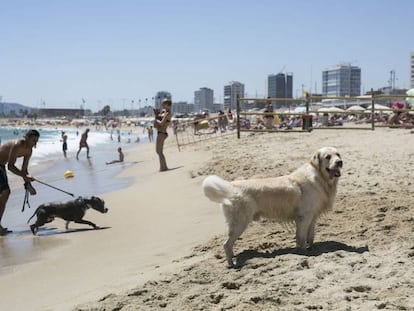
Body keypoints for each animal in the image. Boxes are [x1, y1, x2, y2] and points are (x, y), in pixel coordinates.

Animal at [202, 147, 342, 266]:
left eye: (338, 154)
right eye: (328, 157)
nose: (340, 162)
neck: (320, 178)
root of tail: (230, 187)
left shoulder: (312, 216)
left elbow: (310, 236)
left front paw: (311, 248)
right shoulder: (304, 216)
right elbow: (301, 238)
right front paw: (303, 252)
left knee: (229, 244)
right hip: (240, 223)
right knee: (226, 244)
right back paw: (231, 263)